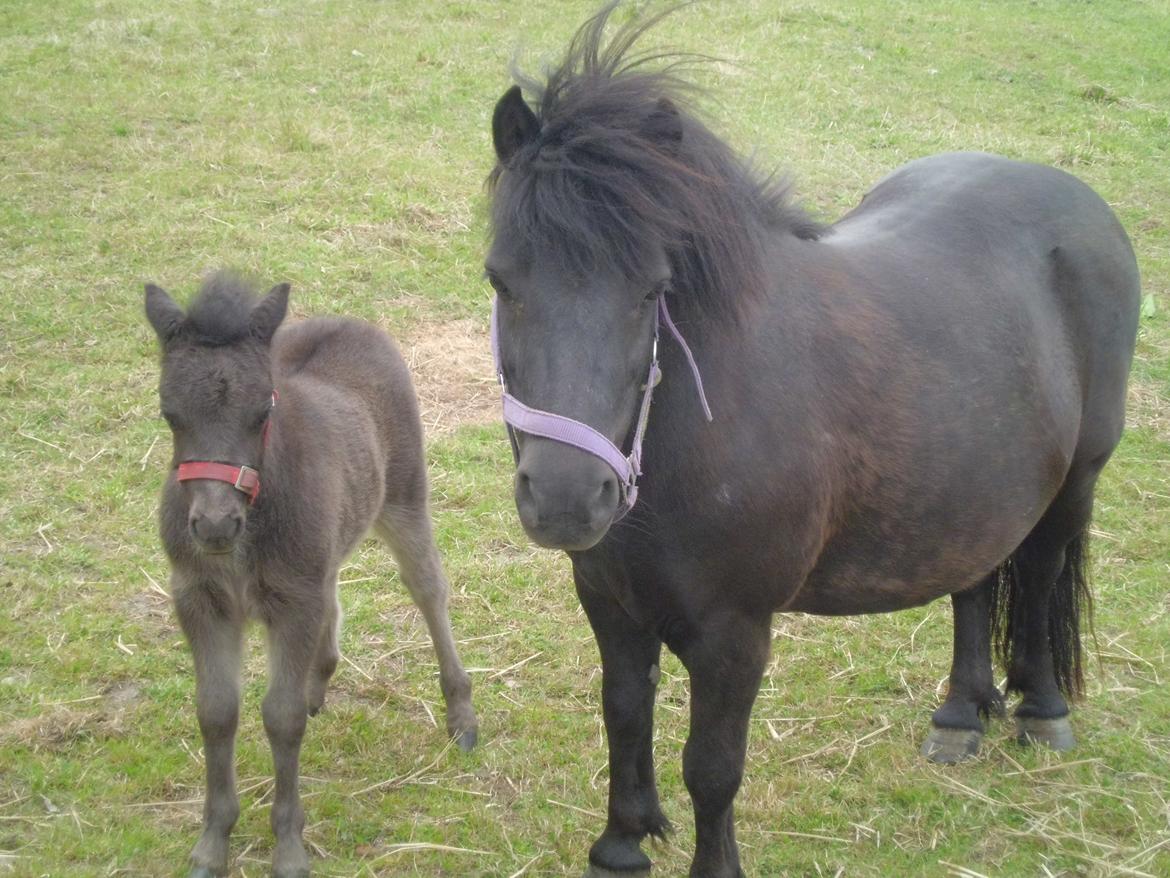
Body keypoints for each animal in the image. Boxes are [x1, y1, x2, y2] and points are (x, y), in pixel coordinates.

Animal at [484, 6, 1141, 878]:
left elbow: (712, 767)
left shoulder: (734, 633)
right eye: (501, 280)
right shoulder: (609, 602)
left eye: (653, 291)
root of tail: (1080, 203)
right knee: (974, 582)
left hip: (1075, 483)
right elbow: (623, 716)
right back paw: (960, 716)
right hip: (973, 486)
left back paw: (1041, 709)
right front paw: (621, 845)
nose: (564, 498)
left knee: (1037, 576)